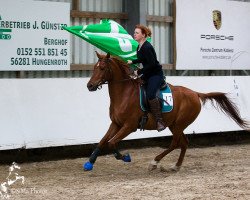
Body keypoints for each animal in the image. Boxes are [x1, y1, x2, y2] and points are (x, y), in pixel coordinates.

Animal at [83, 52, 248, 171]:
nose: (89, 86)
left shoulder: (129, 126)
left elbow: (111, 143)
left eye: (102, 68)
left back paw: (155, 162)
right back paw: (176, 166)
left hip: (178, 125)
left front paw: (125, 157)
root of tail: (195, 94)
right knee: (184, 143)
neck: (124, 93)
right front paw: (90, 162)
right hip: (174, 125)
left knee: (175, 143)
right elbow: (103, 141)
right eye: (94, 68)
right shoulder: (116, 124)